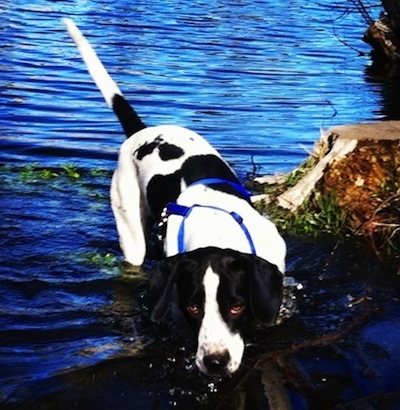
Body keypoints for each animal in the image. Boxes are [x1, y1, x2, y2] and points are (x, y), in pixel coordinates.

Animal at [64, 20, 286, 378]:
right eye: (193, 306)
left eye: (236, 306)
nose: (214, 361)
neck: (217, 228)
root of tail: (141, 131)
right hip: (131, 232)